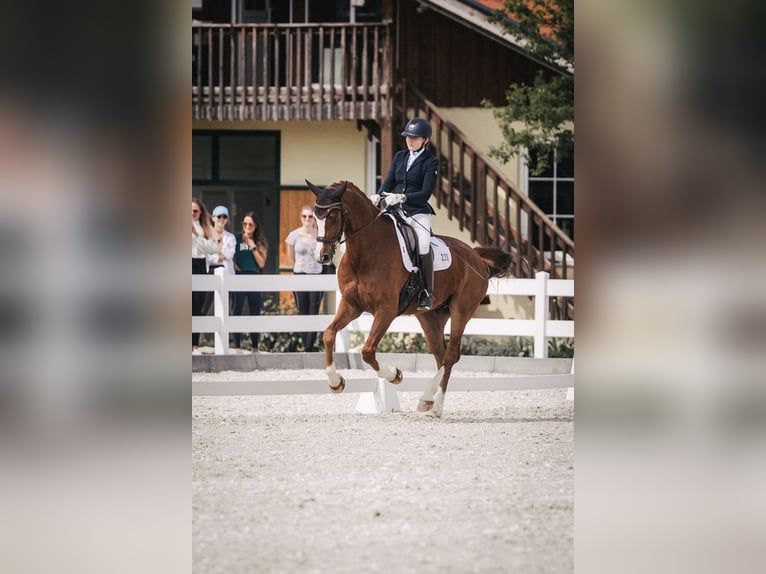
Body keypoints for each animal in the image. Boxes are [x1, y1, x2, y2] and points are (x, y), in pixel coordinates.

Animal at [306, 179, 513, 417]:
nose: (322, 256)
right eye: (315, 217)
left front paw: (395, 375)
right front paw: (336, 382)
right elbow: (329, 334)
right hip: (431, 318)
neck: (365, 251)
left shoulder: (386, 311)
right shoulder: (351, 306)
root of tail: (475, 256)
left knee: (451, 356)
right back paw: (427, 400)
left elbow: (367, 351)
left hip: (462, 310)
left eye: (332, 217)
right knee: (441, 357)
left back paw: (435, 405)